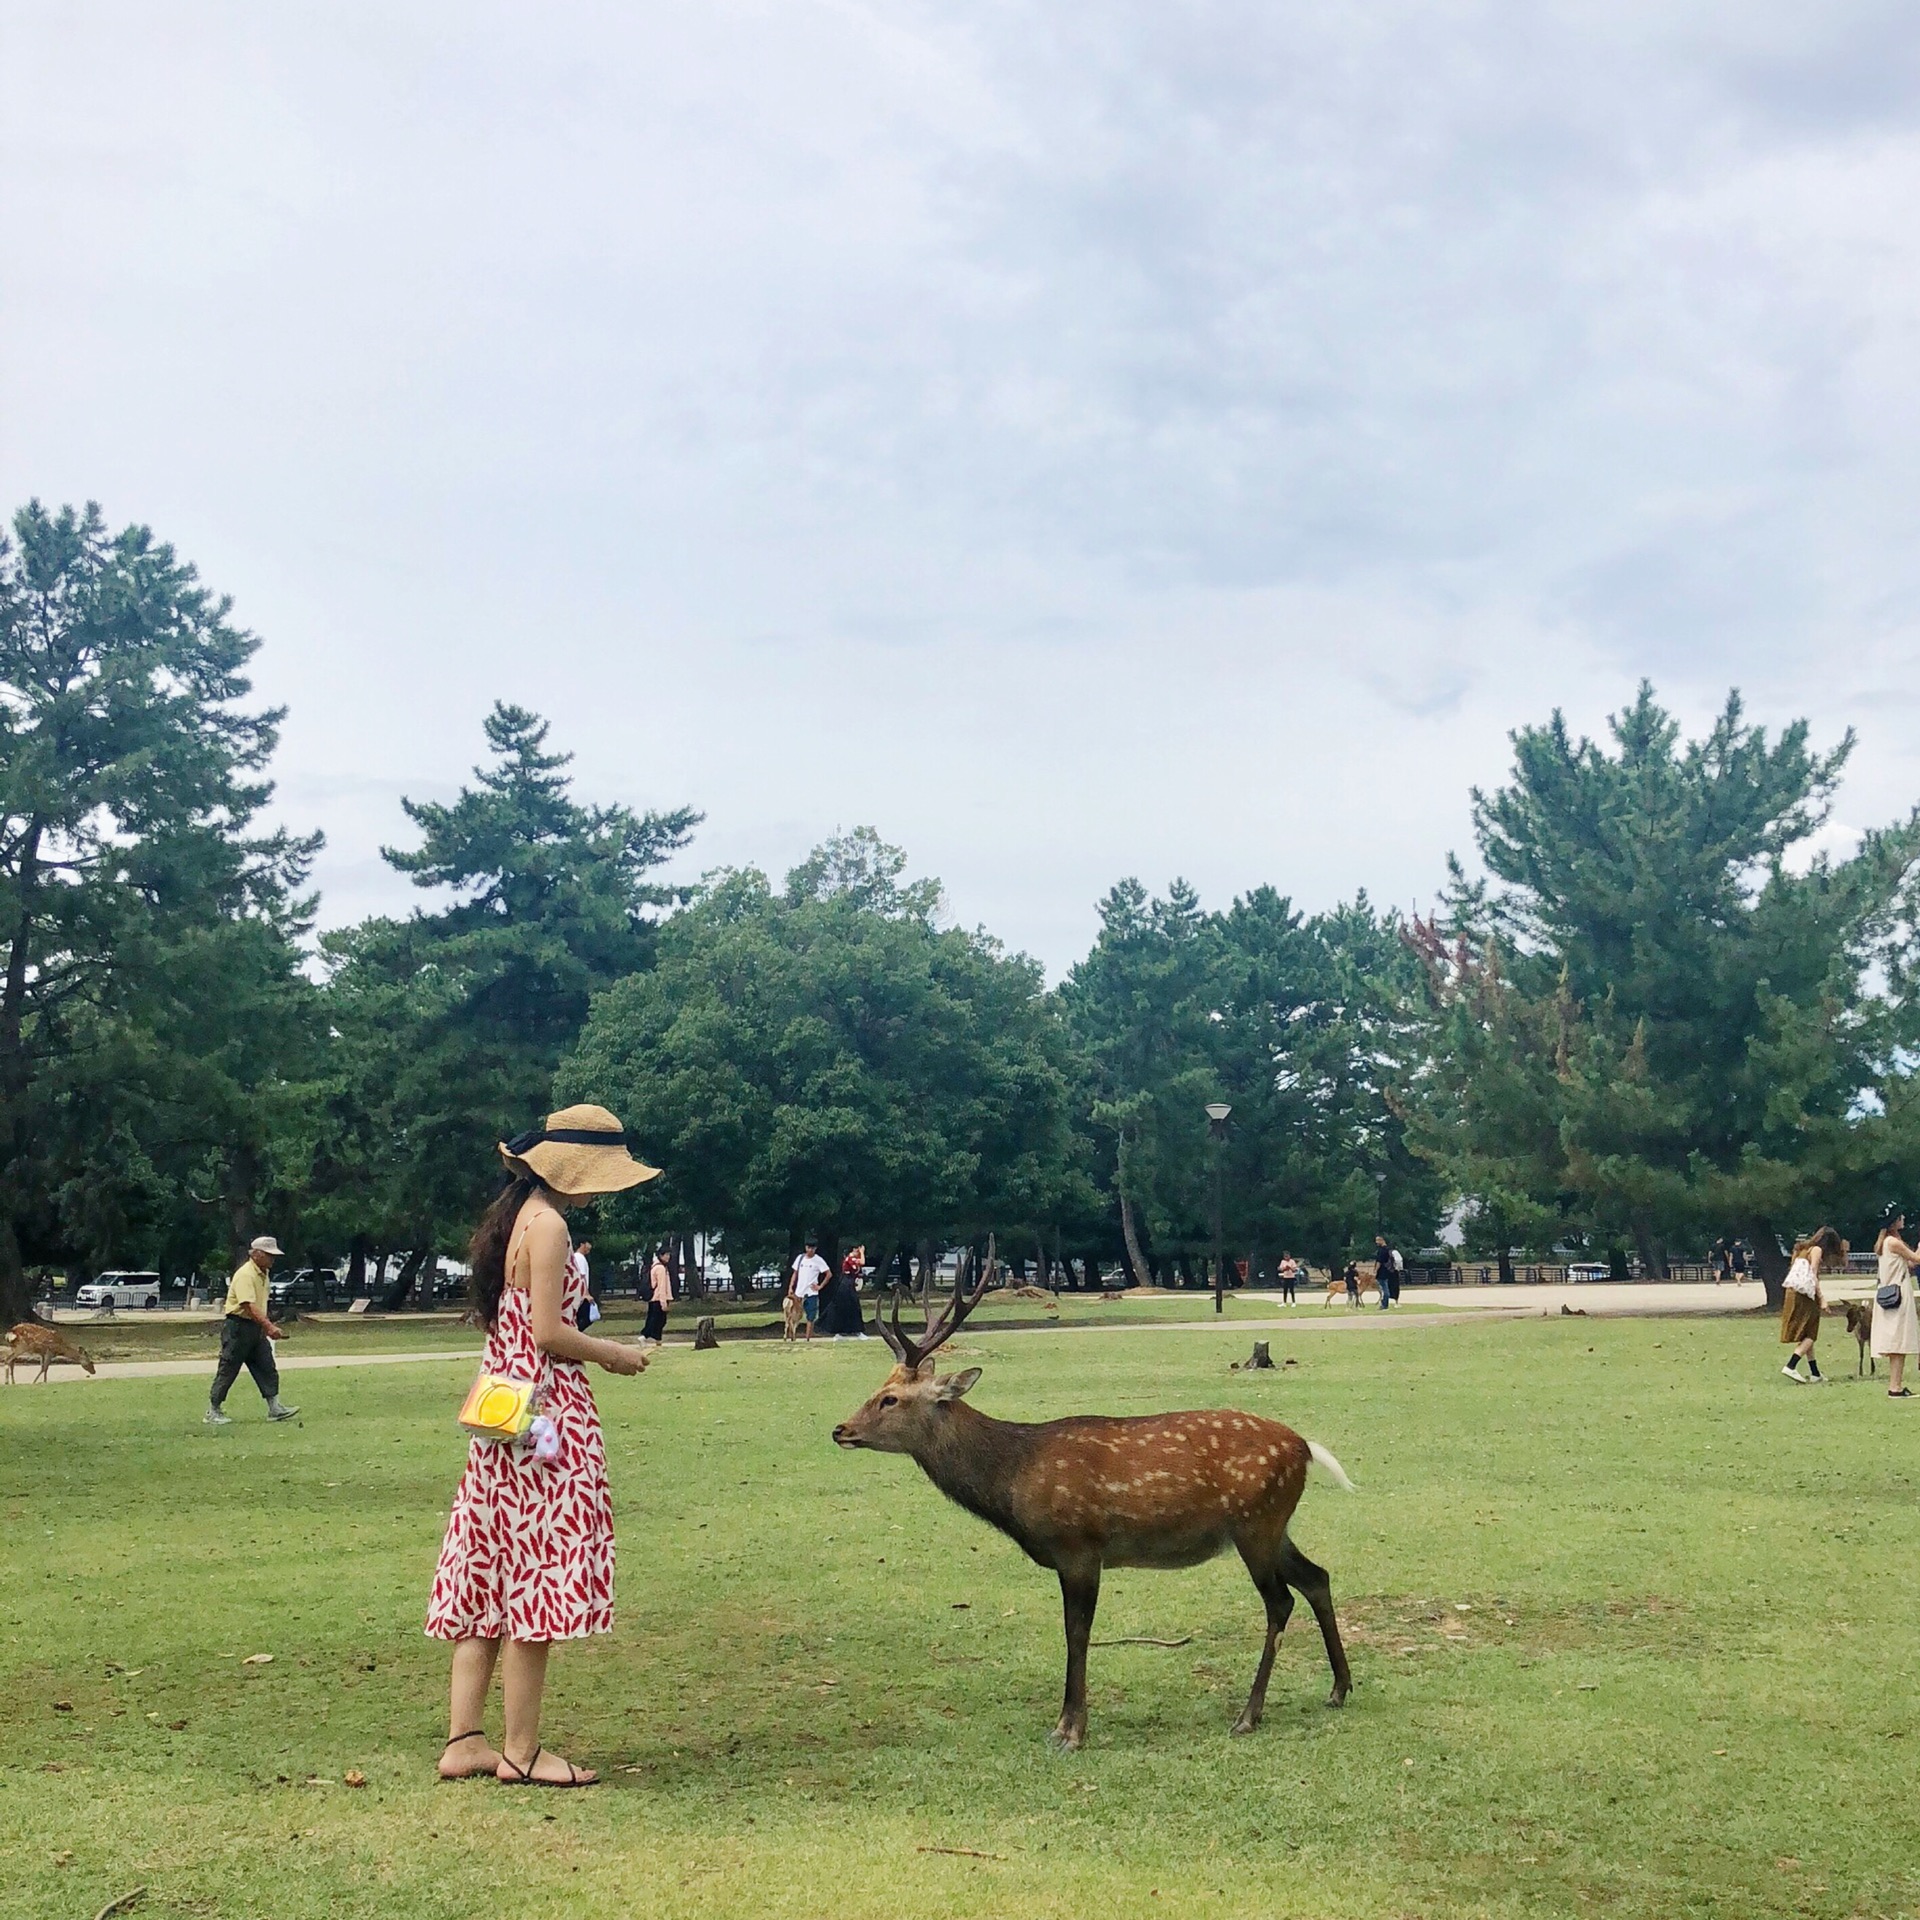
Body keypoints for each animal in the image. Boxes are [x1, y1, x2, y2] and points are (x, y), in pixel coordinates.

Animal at [833, 1236, 1359, 1751]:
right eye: (878, 1388)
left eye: (890, 1399)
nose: (840, 1429)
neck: (1014, 1478)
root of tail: (1304, 1448)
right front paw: (1065, 1725)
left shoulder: (1079, 1546)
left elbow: (1076, 1633)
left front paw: (1071, 1730)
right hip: (1274, 1526)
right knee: (1318, 1577)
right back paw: (1338, 1688)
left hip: (1256, 1522)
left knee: (1280, 1602)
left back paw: (1249, 1715)